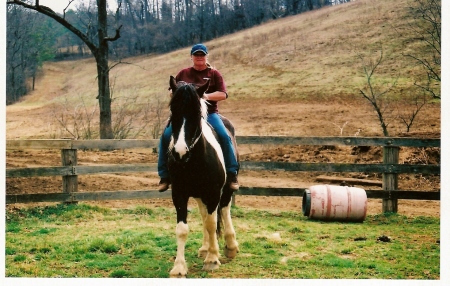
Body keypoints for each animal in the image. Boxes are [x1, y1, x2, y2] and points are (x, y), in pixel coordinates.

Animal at [167, 76, 239, 278]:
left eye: (197, 112)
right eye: (172, 109)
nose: (180, 152)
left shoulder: (213, 192)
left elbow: (212, 223)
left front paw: (213, 259)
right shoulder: (179, 193)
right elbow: (183, 229)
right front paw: (179, 267)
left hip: (225, 189)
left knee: (224, 210)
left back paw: (230, 246)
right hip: (199, 194)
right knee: (204, 214)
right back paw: (205, 248)